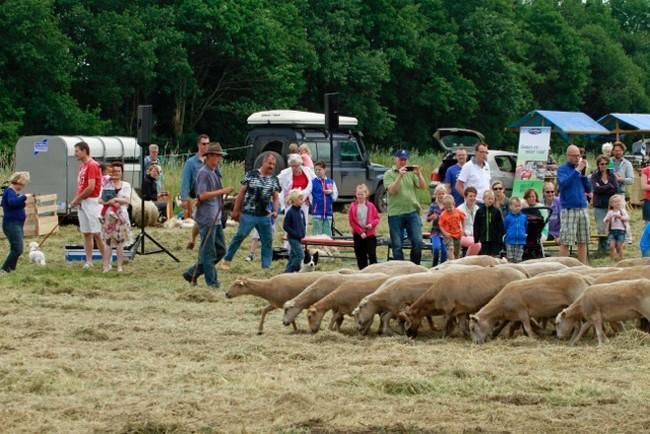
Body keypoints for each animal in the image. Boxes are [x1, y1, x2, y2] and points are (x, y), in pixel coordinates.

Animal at [350, 266, 480, 334]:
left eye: (360, 307)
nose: (358, 327)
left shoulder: (397, 308)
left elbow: (386, 318)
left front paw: (392, 332)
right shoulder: (395, 309)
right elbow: (387, 318)